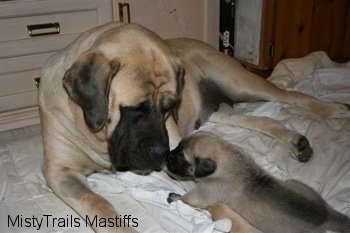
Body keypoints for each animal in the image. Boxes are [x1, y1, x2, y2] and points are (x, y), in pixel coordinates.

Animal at [166, 132, 350, 232]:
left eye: (181, 155)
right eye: (177, 147)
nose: (168, 155)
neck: (229, 160)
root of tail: (326, 214)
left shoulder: (203, 193)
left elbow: (186, 199)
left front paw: (175, 197)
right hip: (295, 183)